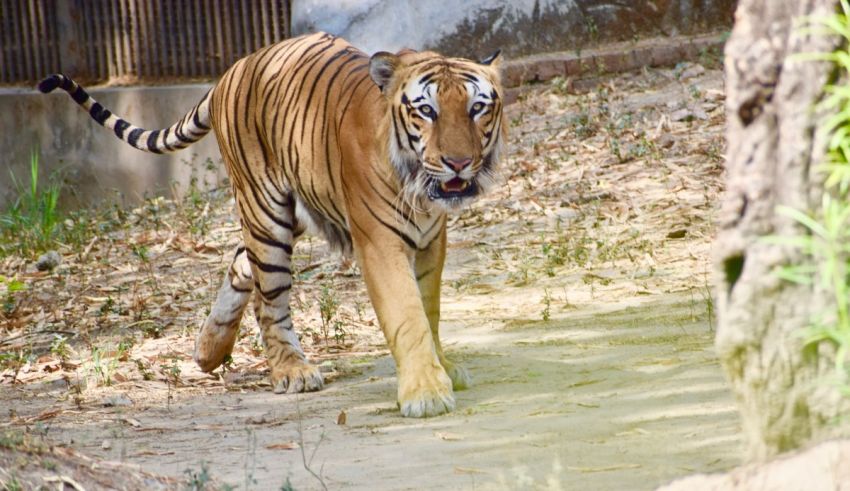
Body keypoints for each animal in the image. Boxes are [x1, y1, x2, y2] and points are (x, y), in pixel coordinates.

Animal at [39, 30, 504, 418]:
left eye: (476, 108)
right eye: (426, 111)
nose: (458, 162)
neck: (421, 190)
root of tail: (233, 69)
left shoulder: (431, 240)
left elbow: (430, 310)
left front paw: (442, 367)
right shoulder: (379, 242)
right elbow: (408, 315)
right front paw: (425, 391)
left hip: (293, 210)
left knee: (242, 264)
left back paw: (209, 349)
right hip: (266, 211)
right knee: (269, 298)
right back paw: (291, 371)